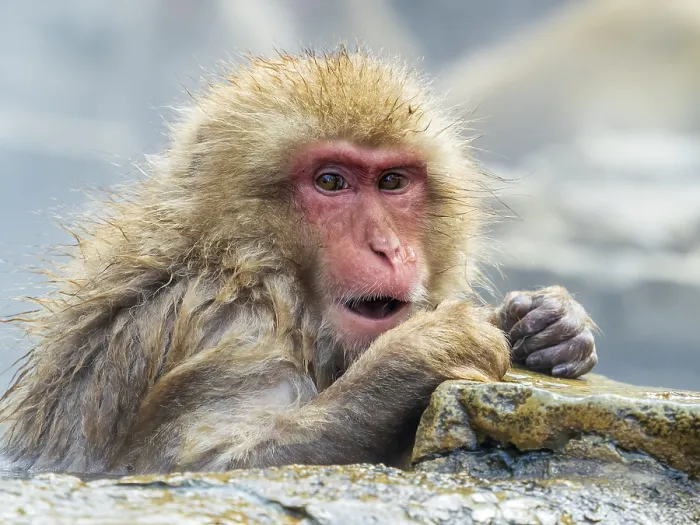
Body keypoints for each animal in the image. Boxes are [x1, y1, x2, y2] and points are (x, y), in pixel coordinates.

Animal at [0, 47, 597, 475]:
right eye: (331, 182)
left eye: (392, 181)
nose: (388, 246)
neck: (249, 263)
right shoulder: (230, 328)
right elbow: (200, 464)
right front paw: (429, 349)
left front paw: (547, 323)